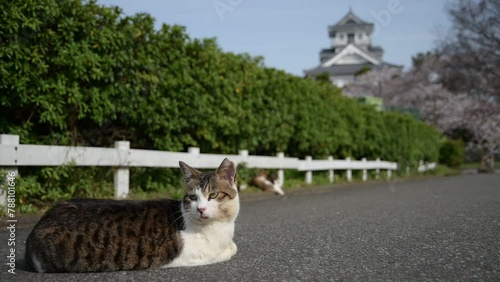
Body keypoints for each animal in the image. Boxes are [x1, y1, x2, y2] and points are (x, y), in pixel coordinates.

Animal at [24, 158, 239, 272]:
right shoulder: (193, 255)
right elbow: (227, 251)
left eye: (213, 195)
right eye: (193, 197)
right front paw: (228, 249)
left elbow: (233, 246)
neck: (220, 227)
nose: (201, 209)